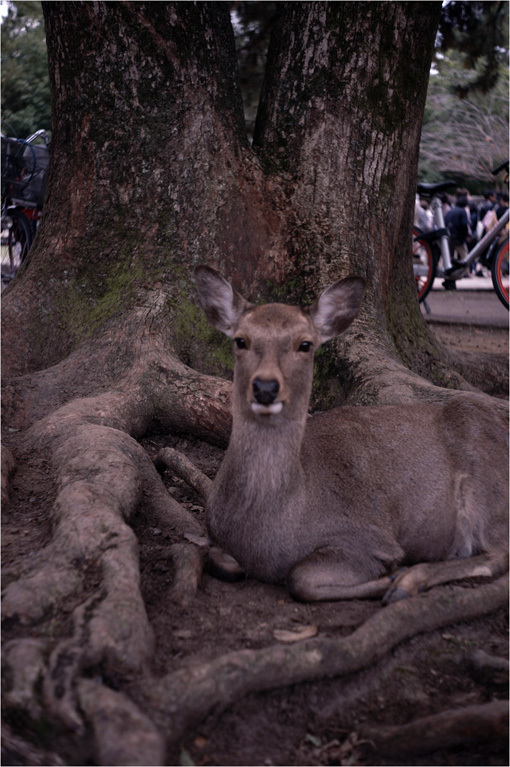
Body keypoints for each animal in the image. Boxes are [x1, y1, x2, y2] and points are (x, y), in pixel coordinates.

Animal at [193, 268, 508, 604]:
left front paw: (392, 576)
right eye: (241, 340)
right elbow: (221, 562)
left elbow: (299, 577)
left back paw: (408, 581)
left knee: (498, 554)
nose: (265, 387)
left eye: (305, 344)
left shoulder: (367, 537)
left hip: (484, 472)